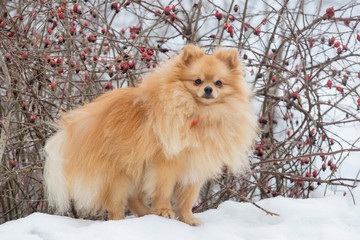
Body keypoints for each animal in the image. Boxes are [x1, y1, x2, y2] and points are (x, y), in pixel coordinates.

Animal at [43, 44, 258, 226]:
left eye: (219, 83)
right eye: (197, 81)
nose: (208, 89)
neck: (200, 114)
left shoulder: (194, 167)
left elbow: (187, 199)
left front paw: (188, 219)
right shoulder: (164, 165)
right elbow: (163, 191)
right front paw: (164, 211)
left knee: (133, 198)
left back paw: (145, 214)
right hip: (119, 175)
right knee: (117, 205)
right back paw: (122, 222)